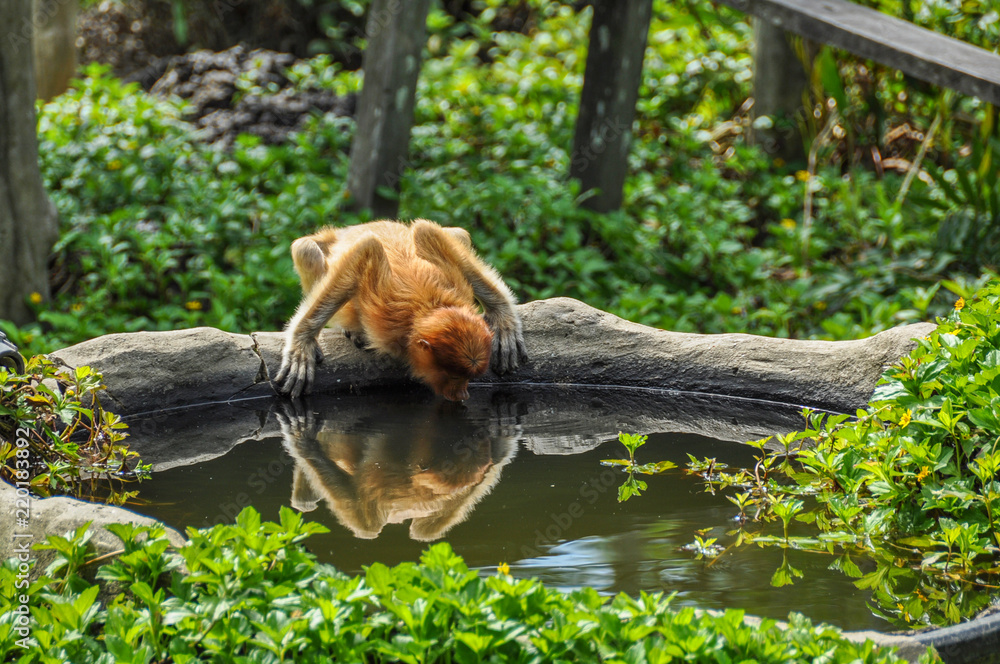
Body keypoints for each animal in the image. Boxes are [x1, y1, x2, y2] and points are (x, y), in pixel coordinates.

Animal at [274, 219, 528, 401]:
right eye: (455, 376)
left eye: (469, 377)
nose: (463, 393)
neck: (428, 307)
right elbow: (365, 251)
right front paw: (301, 345)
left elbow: (427, 232)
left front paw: (505, 321)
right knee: (306, 248)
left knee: (456, 235)